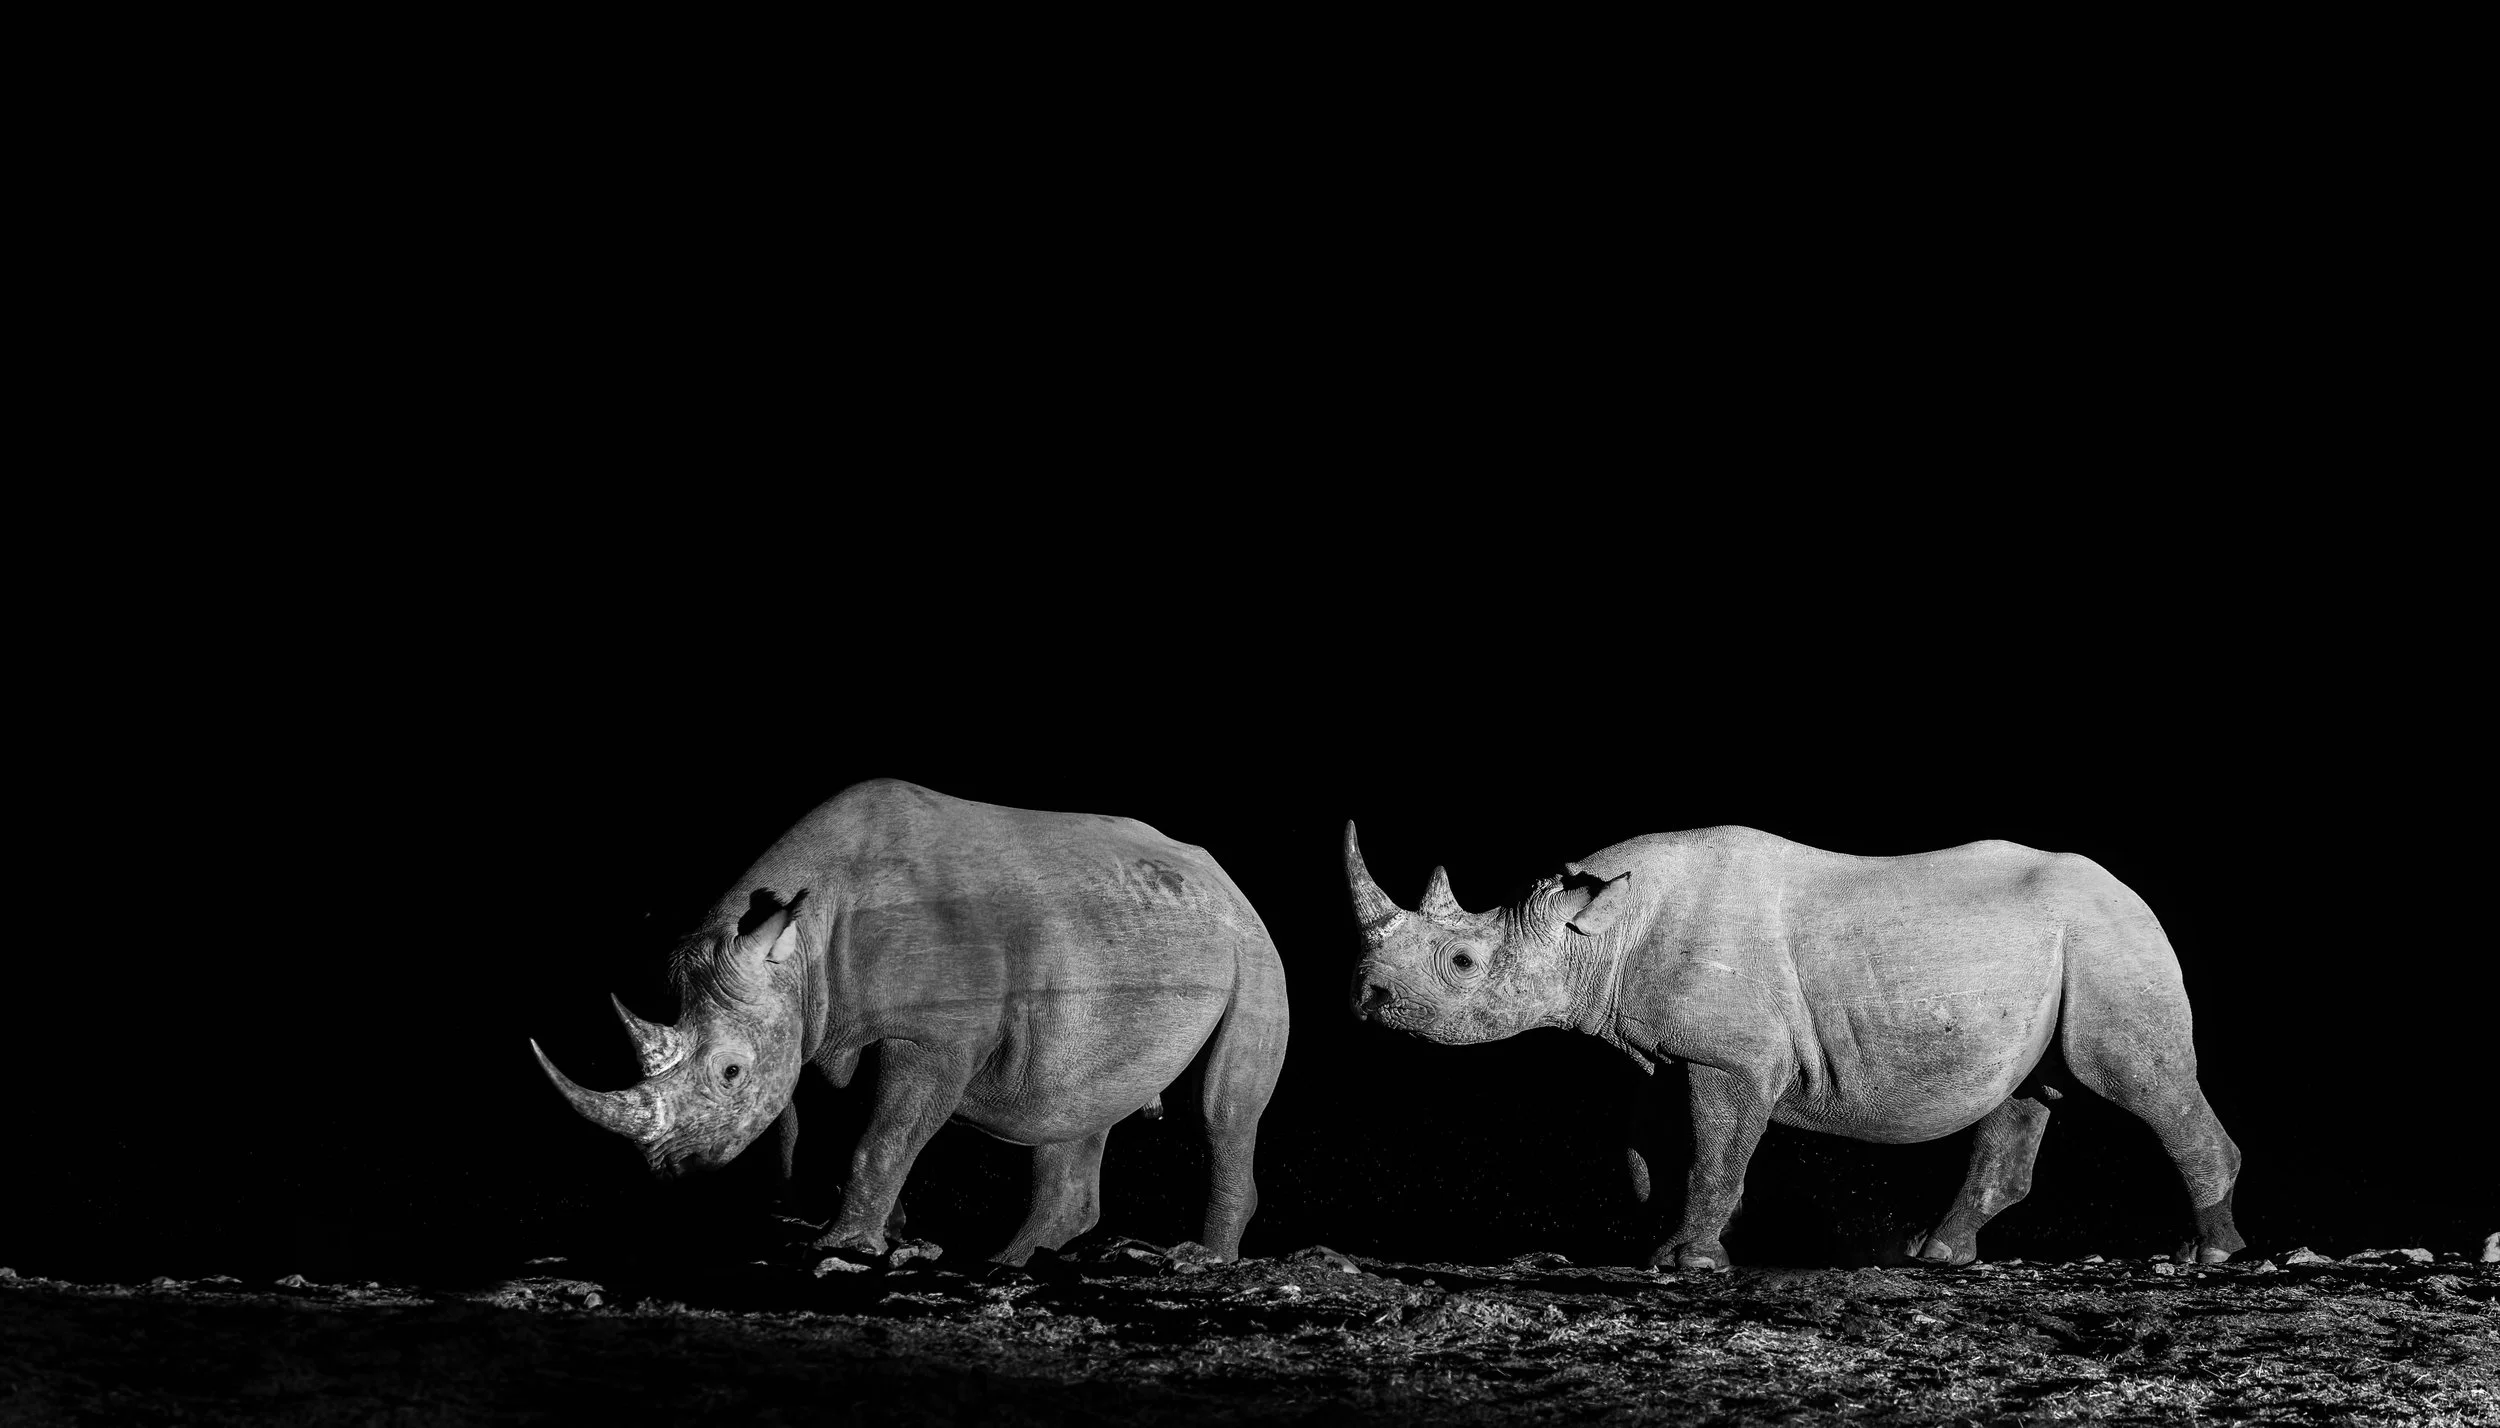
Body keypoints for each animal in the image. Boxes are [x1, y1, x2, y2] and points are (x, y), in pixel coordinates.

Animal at [532, 780, 1289, 1266]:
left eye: (729, 1072)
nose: (676, 1171)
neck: (801, 943)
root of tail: (1225, 881)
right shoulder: (812, 1027)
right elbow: (805, 1132)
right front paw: (864, 1235)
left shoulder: (933, 1037)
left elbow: (884, 1135)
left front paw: (843, 1247)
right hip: (1125, 934)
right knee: (1071, 1095)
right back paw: (1009, 1262)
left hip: (1252, 950)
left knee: (1220, 1107)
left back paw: (1196, 1261)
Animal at [1344, 822, 2244, 1269]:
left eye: (1463, 963)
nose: (1368, 999)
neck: (1591, 934)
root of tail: (2135, 894)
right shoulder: (1662, 1053)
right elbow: (1649, 1148)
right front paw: (1654, 1236)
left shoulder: (1730, 1059)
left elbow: (1714, 1152)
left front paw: (1690, 1263)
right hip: (2066, 947)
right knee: (2025, 1094)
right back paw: (1936, 1256)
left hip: (2110, 941)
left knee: (2132, 1081)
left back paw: (2210, 1255)